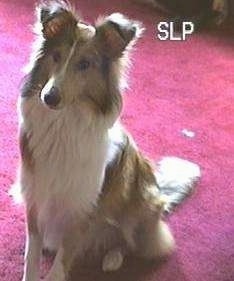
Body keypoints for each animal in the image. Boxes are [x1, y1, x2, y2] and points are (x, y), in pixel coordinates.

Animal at [16, 1, 201, 278]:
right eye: (56, 56)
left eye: (85, 64)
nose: (49, 97)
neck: (64, 123)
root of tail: (161, 193)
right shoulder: (35, 195)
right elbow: (32, 254)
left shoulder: (81, 209)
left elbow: (61, 264)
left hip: (141, 203)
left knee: (128, 242)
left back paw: (113, 258)